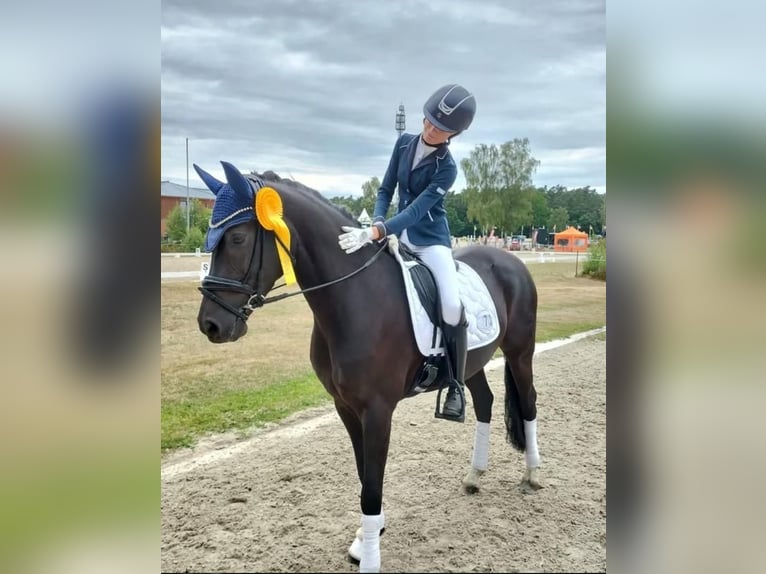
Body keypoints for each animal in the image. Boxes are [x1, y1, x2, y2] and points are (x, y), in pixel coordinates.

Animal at [195, 160, 544, 572]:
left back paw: (533, 474)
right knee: (486, 403)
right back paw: (474, 475)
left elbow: (372, 487)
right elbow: (365, 476)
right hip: (472, 363)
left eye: (236, 239)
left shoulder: (377, 410)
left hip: (520, 351)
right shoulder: (345, 407)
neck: (353, 299)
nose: (210, 324)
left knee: (528, 403)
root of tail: (511, 260)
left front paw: (370, 557)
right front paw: (367, 538)